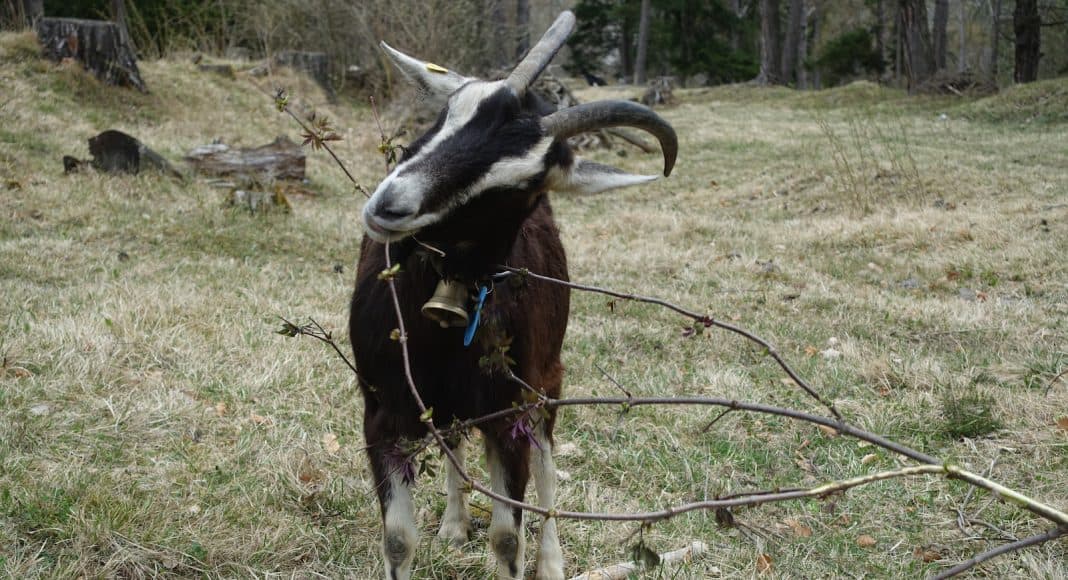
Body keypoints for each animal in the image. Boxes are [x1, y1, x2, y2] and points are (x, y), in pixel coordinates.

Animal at [349, 11, 677, 580]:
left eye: (522, 184)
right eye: (448, 114)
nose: (391, 205)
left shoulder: (510, 414)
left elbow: (507, 538)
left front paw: (529, 553)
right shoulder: (383, 410)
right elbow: (396, 540)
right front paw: (445, 526)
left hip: (547, 383)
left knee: (547, 467)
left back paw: (552, 561)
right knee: (455, 438)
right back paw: (454, 523)